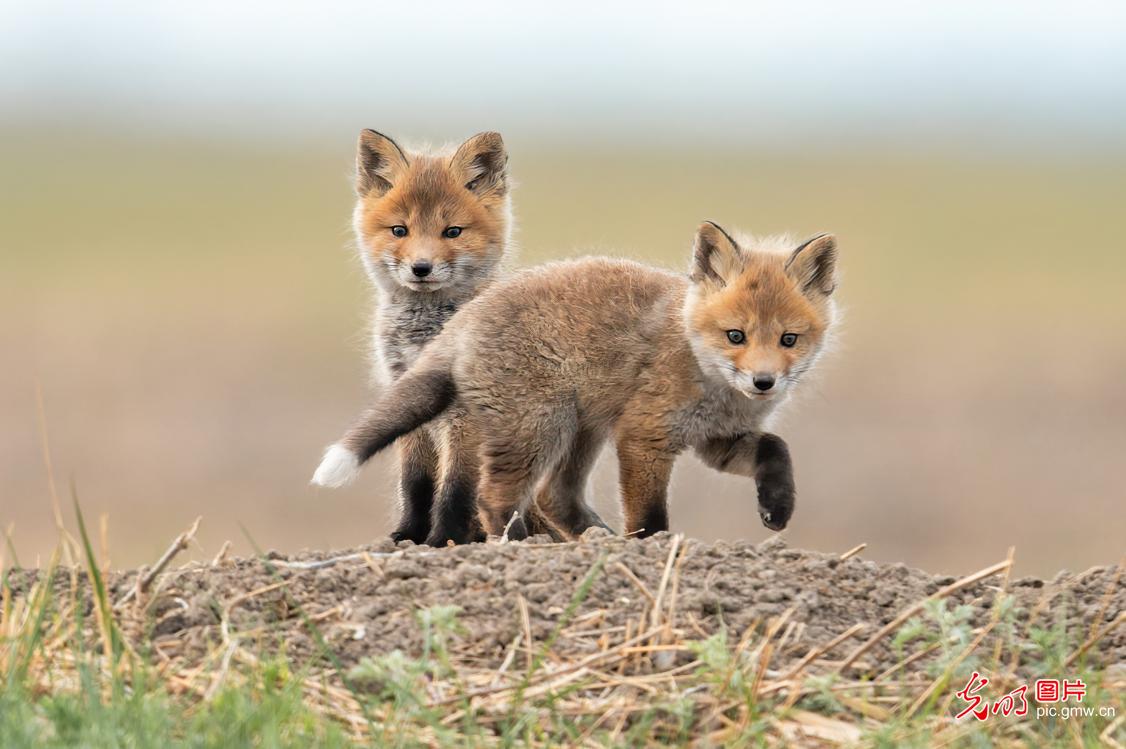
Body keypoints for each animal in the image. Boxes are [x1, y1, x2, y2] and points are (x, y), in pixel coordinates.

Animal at [313, 221, 839, 541]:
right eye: (736, 335)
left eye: (789, 339)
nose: (764, 382)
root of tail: (465, 318)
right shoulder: (644, 437)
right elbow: (648, 518)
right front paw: (653, 551)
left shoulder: (718, 439)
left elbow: (776, 448)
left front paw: (778, 507)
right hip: (541, 428)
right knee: (496, 497)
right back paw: (522, 544)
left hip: (581, 429)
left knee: (554, 495)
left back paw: (591, 538)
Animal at [319, 129, 583, 545]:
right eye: (400, 230)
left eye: (452, 232)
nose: (421, 268)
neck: (426, 334)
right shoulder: (409, 394)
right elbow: (416, 482)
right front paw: (408, 535)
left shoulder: (466, 416)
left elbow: (457, 486)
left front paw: (445, 539)